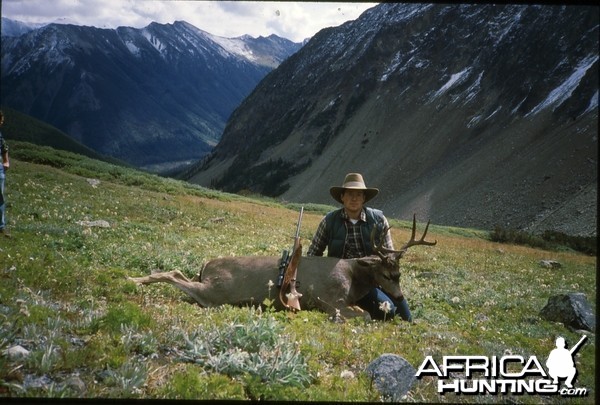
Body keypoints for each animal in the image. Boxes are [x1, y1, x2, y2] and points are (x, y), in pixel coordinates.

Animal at [127, 213, 436, 320]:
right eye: (386, 273)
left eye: (399, 274)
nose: (399, 297)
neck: (353, 277)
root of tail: (206, 265)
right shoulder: (329, 298)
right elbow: (366, 315)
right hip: (216, 292)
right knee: (175, 274)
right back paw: (133, 280)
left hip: (210, 287)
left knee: (180, 274)